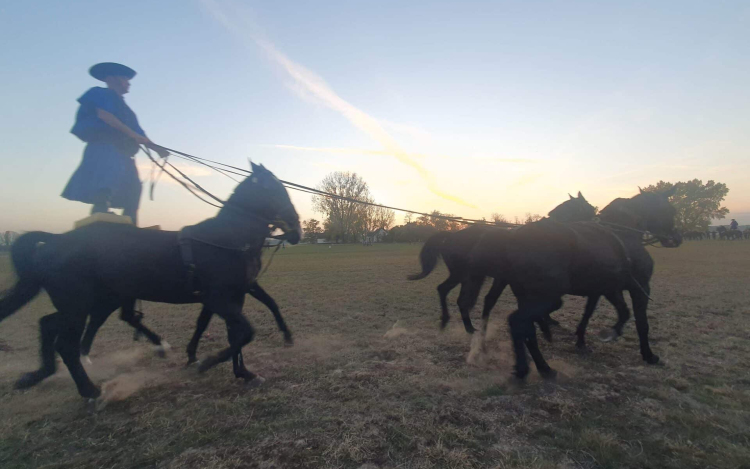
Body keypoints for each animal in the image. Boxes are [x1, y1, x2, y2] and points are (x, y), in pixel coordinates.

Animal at [0, 163, 301, 398]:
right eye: (274, 190)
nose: (297, 230)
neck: (224, 240)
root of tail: (56, 240)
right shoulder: (218, 298)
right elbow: (245, 332)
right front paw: (206, 362)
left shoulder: (234, 296)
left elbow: (235, 332)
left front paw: (244, 372)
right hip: (80, 304)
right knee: (67, 343)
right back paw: (90, 391)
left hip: (86, 303)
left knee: (50, 324)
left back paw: (38, 374)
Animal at [408, 192, 596, 338]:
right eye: (587, 206)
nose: (596, 218)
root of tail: (452, 235)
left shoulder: (506, 280)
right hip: (463, 275)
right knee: (450, 293)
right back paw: (463, 326)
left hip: (468, 276)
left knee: (451, 294)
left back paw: (457, 323)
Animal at [459, 188, 680, 380]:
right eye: (671, 210)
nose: (676, 238)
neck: (623, 236)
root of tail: (513, 238)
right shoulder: (639, 288)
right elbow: (641, 322)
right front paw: (647, 354)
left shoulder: (606, 289)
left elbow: (608, 312)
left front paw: (590, 337)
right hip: (542, 295)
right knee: (516, 320)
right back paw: (533, 367)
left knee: (520, 324)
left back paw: (534, 366)